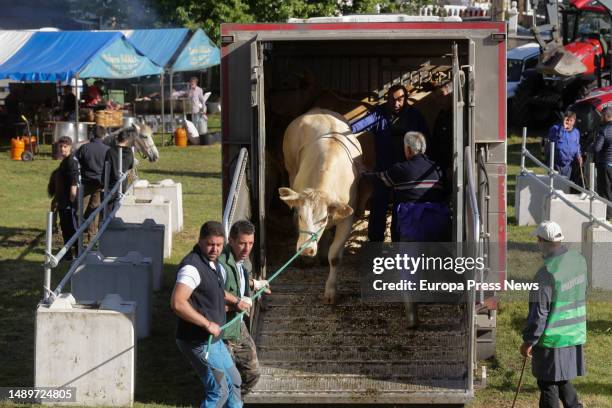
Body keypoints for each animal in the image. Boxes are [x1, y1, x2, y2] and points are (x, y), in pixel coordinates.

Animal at [278, 107, 360, 304]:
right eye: (301, 215)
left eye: (323, 220)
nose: (306, 250)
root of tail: (318, 110)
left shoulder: (347, 218)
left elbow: (335, 256)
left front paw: (331, 291)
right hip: (290, 168)